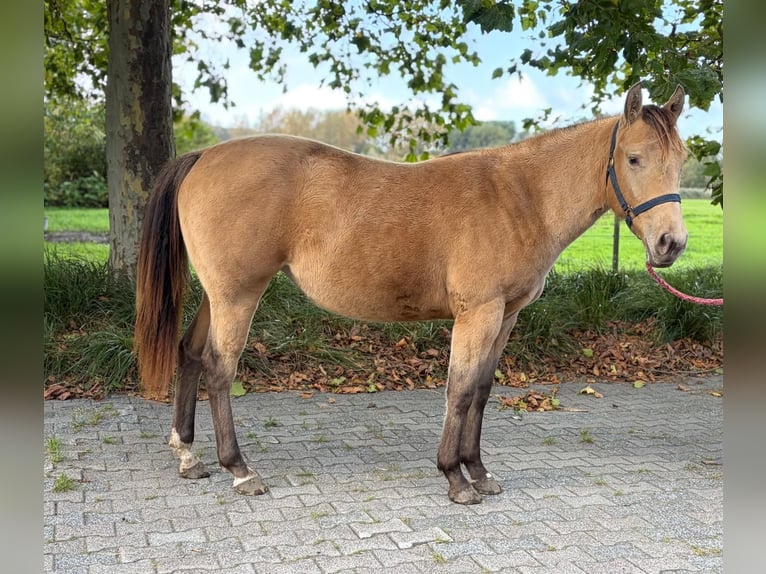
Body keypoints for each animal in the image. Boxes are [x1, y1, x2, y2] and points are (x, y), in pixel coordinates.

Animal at [134, 82, 688, 505]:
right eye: (634, 158)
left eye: (681, 159)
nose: (671, 243)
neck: (519, 197)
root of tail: (205, 155)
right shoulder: (477, 314)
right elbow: (459, 390)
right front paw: (455, 478)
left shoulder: (505, 317)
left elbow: (481, 390)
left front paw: (479, 472)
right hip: (237, 296)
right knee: (219, 369)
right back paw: (240, 469)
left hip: (218, 296)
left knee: (189, 354)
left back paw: (188, 456)